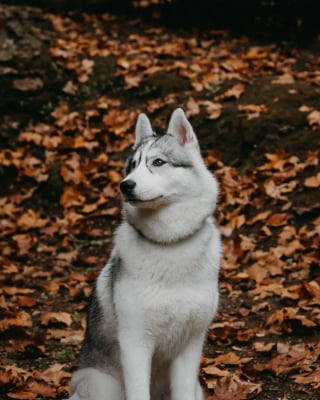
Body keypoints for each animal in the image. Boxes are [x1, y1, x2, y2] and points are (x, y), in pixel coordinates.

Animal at [69, 108, 221, 400]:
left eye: (158, 162)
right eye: (132, 165)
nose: (125, 185)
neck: (170, 244)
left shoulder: (190, 344)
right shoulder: (135, 343)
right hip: (98, 383)